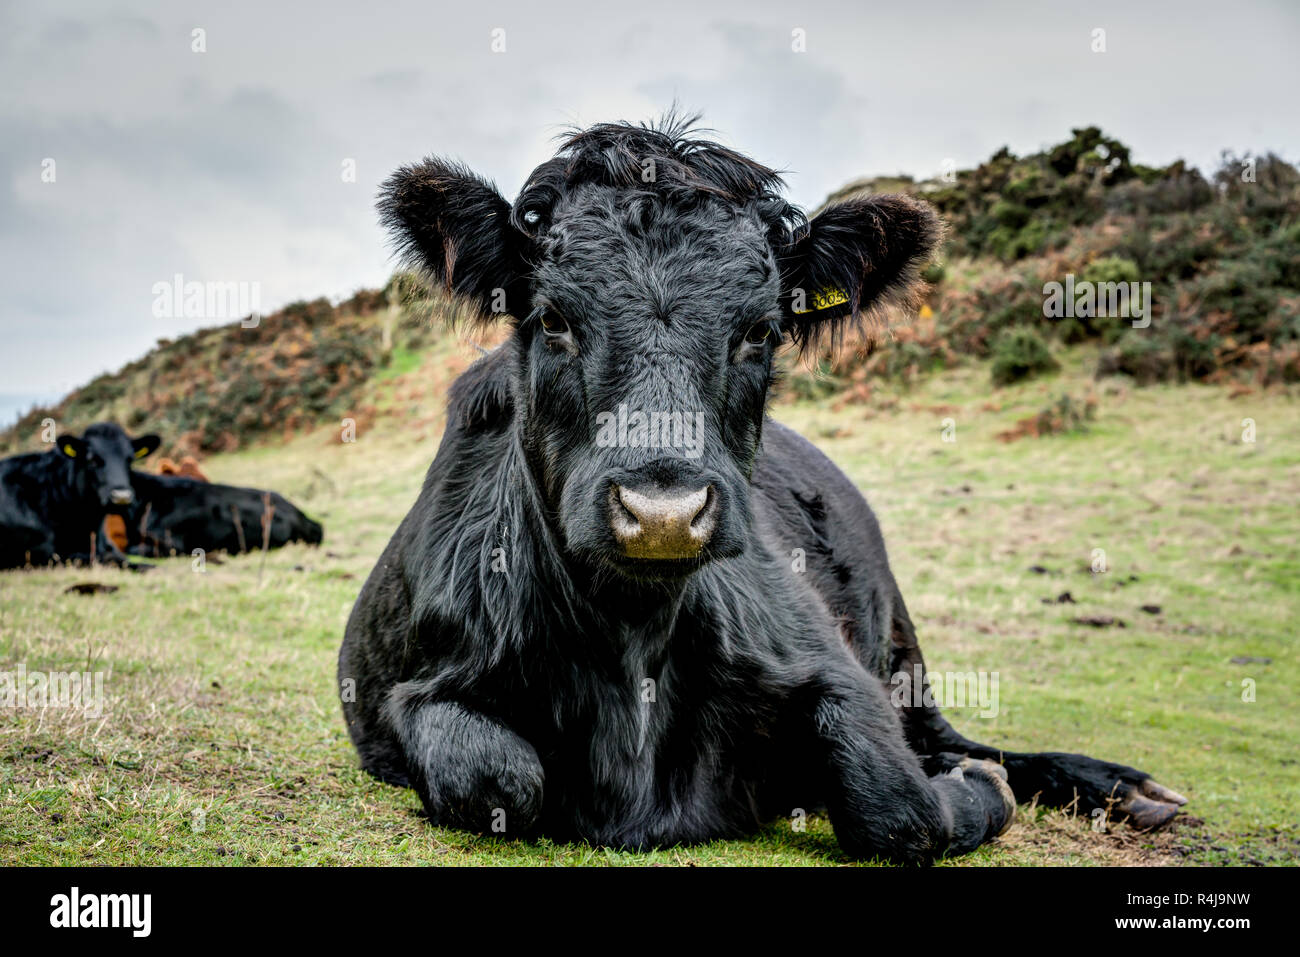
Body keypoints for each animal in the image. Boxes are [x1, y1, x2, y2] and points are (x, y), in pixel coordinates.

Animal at [338, 116, 1187, 864]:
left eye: (760, 331)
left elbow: (899, 805)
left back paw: (1124, 787)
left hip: (902, 648)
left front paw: (982, 791)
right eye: (552, 320)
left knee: (949, 739)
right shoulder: (420, 688)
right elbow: (497, 777)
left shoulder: (833, 666)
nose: (663, 514)